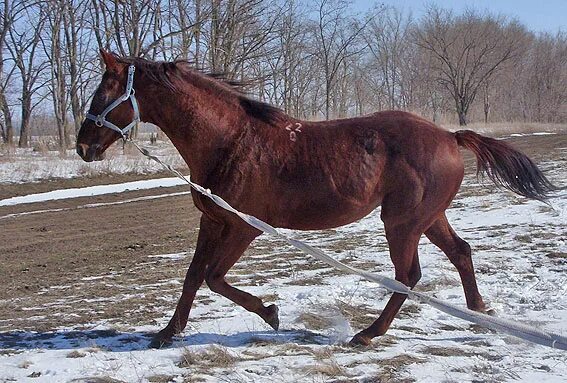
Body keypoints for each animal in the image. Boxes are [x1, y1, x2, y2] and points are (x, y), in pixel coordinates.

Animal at [76, 51, 556, 348]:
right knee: (460, 253)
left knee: (409, 275)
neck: (231, 140)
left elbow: (213, 277)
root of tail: (448, 135)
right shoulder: (213, 221)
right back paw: (480, 314)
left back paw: (367, 333)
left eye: (105, 91)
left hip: (401, 223)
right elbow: (193, 277)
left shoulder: (244, 226)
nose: (83, 146)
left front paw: (270, 312)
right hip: (428, 217)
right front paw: (166, 333)